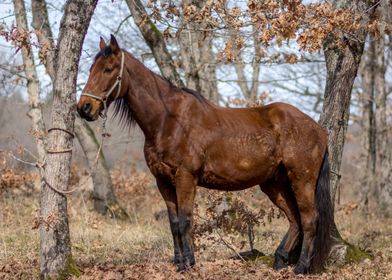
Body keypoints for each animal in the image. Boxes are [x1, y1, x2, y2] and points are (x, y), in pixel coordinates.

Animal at [77, 35, 334, 274]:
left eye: (108, 69)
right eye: (90, 69)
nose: (84, 108)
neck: (169, 121)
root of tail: (320, 129)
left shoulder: (185, 177)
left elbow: (185, 221)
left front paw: (188, 264)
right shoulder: (163, 181)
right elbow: (173, 223)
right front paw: (179, 262)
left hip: (301, 179)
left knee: (309, 219)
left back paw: (301, 267)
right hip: (274, 183)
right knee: (294, 219)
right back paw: (279, 261)